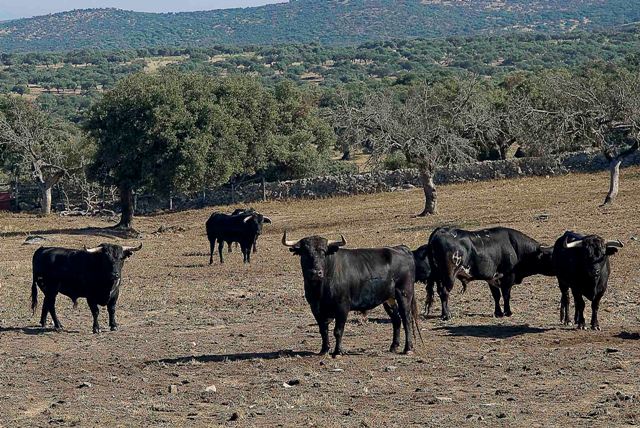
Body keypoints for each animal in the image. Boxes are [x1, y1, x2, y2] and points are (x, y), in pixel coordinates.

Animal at [284, 232, 422, 356]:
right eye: (305, 253)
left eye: (323, 252)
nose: (316, 272)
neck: (320, 289)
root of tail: (401, 248)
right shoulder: (315, 308)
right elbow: (323, 330)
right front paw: (324, 350)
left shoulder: (342, 306)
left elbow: (338, 330)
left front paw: (338, 351)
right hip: (388, 298)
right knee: (396, 319)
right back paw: (393, 346)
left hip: (404, 294)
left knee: (406, 319)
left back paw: (408, 348)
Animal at [424, 227, 556, 320]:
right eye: (551, 256)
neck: (515, 247)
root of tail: (440, 230)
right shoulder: (508, 277)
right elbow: (506, 295)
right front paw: (508, 312)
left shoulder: (492, 279)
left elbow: (496, 296)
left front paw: (498, 313)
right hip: (449, 276)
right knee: (444, 292)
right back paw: (447, 315)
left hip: (438, 277)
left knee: (440, 292)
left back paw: (443, 314)